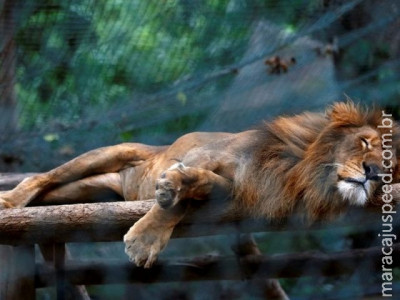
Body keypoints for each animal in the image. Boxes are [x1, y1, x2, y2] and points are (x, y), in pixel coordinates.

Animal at [0, 101, 400, 268]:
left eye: (392, 165)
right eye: (365, 142)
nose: (374, 173)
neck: (299, 169)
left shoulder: (236, 190)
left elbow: (195, 193)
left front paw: (170, 196)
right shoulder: (204, 154)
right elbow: (178, 197)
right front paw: (144, 239)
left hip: (89, 189)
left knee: (51, 192)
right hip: (107, 154)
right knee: (41, 177)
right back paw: (10, 201)